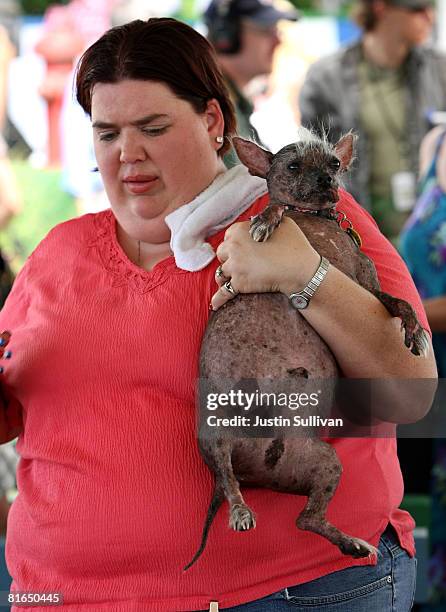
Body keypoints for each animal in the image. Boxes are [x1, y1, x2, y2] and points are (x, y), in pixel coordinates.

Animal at [185, 128, 428, 568]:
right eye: (294, 165)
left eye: (333, 163)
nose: (326, 180)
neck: (315, 220)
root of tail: (257, 474)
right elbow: (276, 208)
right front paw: (265, 219)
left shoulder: (369, 288)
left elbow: (399, 303)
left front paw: (414, 330)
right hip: (215, 436)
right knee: (226, 479)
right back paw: (241, 510)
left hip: (323, 462)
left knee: (304, 519)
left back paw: (351, 543)